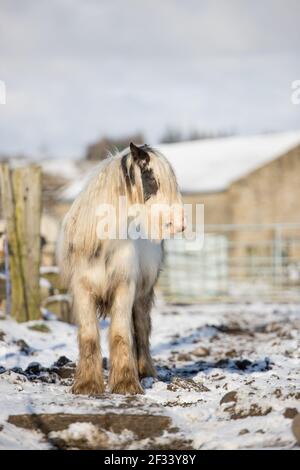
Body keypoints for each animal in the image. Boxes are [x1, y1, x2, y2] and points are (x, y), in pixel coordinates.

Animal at [56, 142, 185, 392]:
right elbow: (89, 336)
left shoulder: (124, 287)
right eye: (151, 177)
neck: (101, 243)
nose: (179, 224)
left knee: (141, 329)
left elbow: (120, 334)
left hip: (142, 294)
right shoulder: (82, 290)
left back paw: (144, 371)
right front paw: (87, 385)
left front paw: (126, 383)